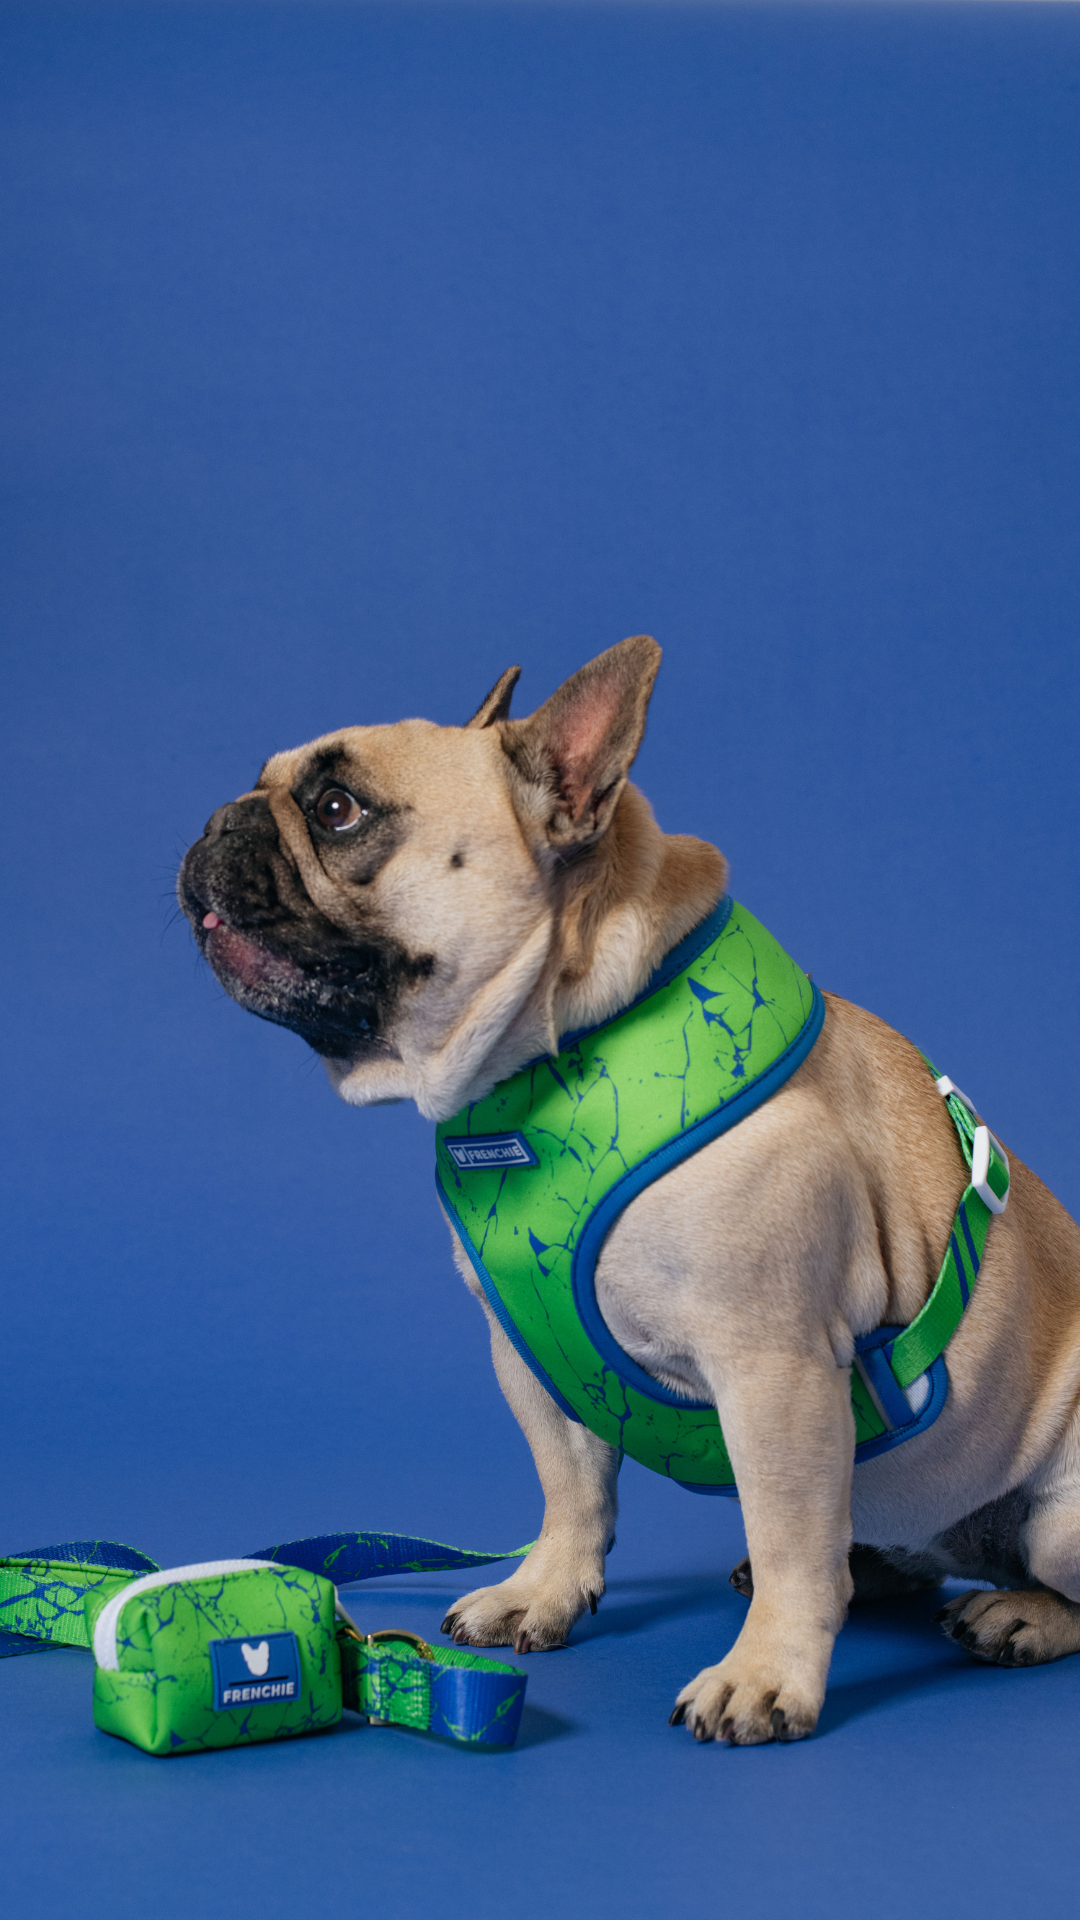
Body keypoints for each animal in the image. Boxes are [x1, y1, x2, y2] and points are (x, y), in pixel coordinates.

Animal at [178, 635, 1080, 1744]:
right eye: (262, 782)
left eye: (340, 808)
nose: (218, 819)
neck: (557, 1063)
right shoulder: (531, 1356)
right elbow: (571, 1490)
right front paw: (545, 1590)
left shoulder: (775, 1369)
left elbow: (789, 1534)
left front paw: (767, 1672)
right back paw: (881, 1567)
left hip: (1060, 1511)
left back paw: (1017, 1613)